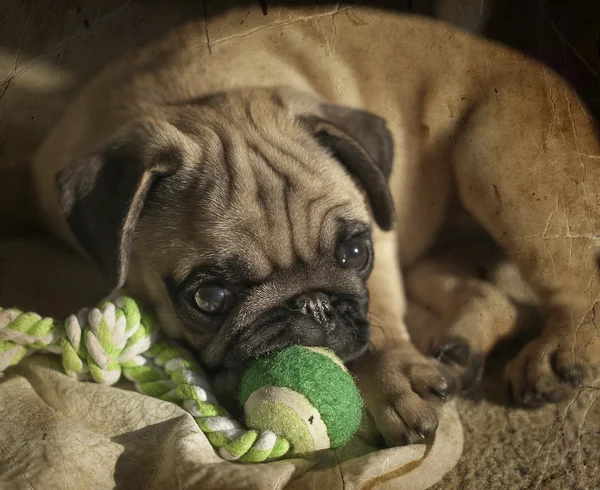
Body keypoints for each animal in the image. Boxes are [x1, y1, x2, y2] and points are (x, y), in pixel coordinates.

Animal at [28, 7, 600, 446]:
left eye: (355, 254)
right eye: (209, 297)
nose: (313, 304)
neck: (199, 98)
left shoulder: (382, 237)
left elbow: (381, 319)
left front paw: (392, 378)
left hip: (496, 163)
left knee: (574, 284)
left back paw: (556, 356)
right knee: (496, 296)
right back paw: (461, 348)